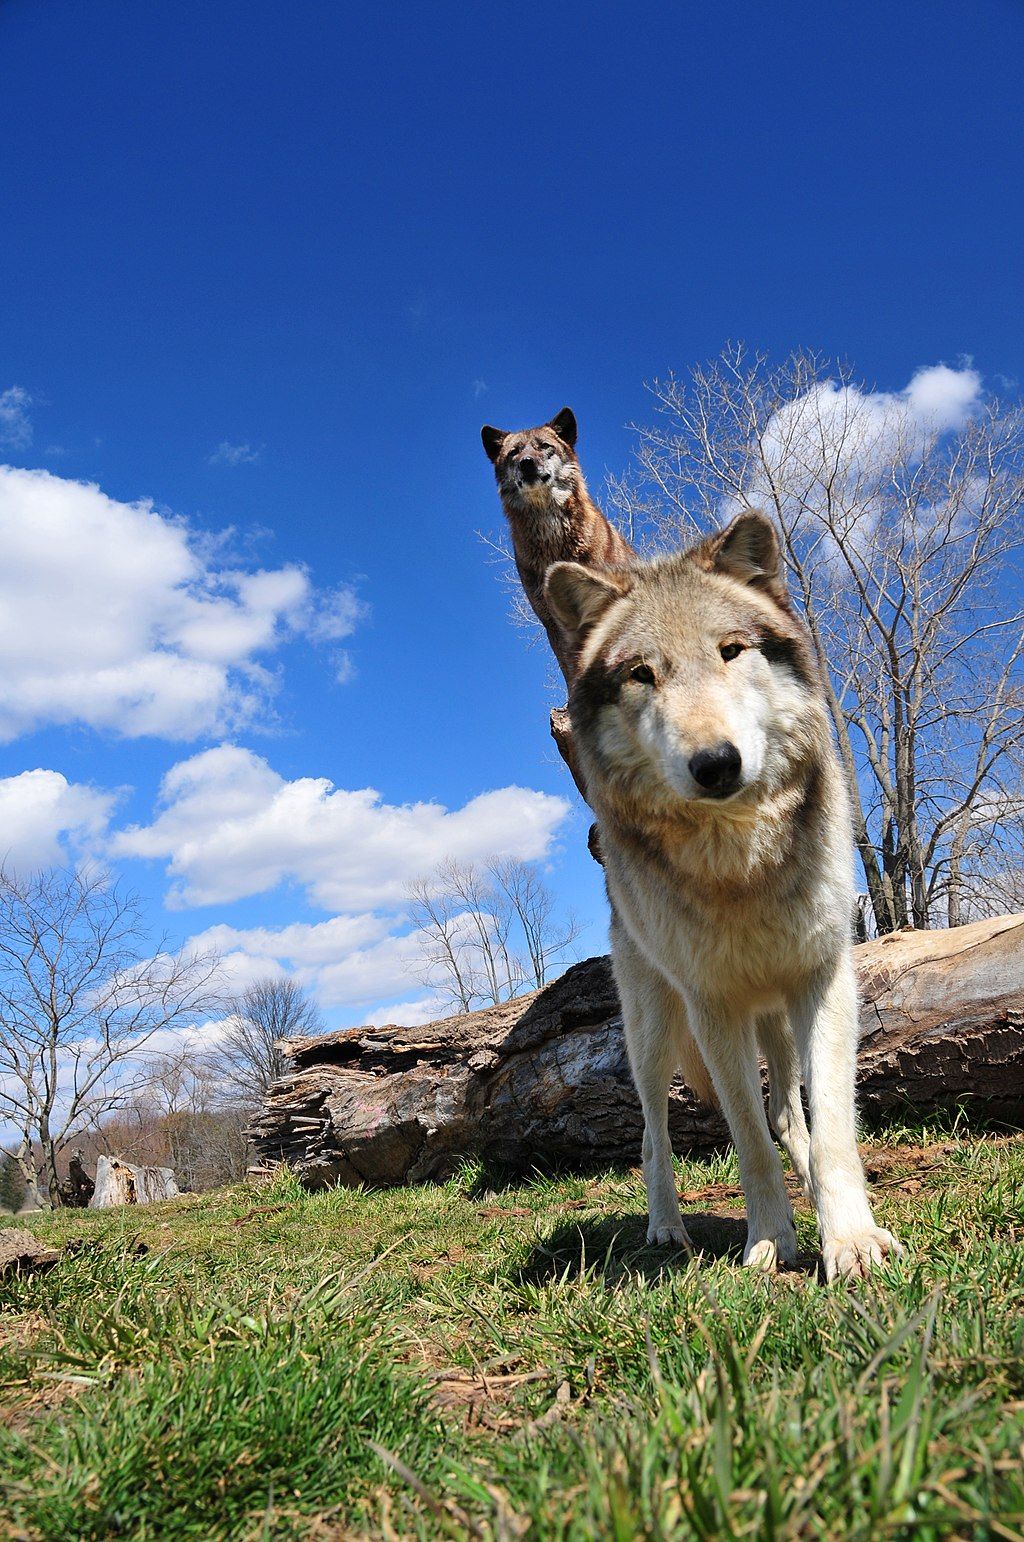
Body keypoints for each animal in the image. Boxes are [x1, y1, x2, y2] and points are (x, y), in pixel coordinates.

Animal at [544, 511, 901, 1280]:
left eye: (731, 651)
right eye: (641, 674)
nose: (715, 763)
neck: (739, 861)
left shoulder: (822, 982)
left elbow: (830, 1128)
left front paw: (851, 1239)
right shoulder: (714, 1008)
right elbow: (747, 1139)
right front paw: (769, 1241)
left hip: (777, 1024)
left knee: (790, 1116)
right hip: (653, 1034)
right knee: (654, 1137)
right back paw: (666, 1228)